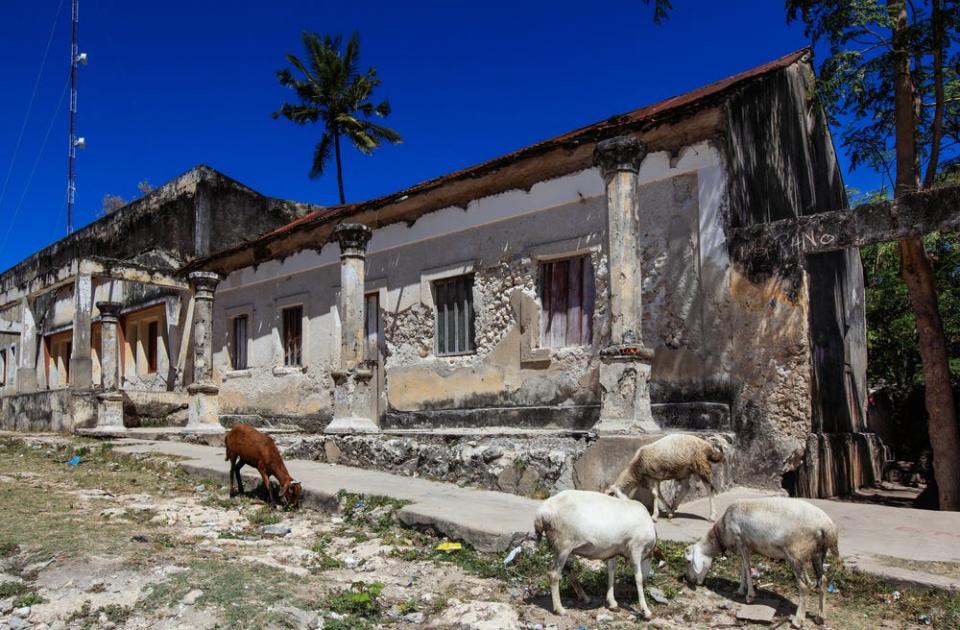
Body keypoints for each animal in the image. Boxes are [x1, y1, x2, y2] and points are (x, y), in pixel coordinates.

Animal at [532, 492, 660, 620]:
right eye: (652, 559)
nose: (647, 578)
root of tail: (542, 513)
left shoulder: (613, 550)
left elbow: (611, 572)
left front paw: (612, 603)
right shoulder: (636, 549)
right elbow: (638, 578)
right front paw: (646, 611)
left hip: (559, 546)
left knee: (568, 569)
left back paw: (585, 598)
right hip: (563, 544)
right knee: (554, 574)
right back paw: (560, 609)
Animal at [684, 502, 840, 628]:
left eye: (689, 561)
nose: (690, 580)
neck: (722, 532)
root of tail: (827, 526)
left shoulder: (741, 541)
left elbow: (747, 569)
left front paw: (750, 596)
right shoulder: (745, 547)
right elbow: (742, 567)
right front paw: (740, 590)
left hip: (796, 553)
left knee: (805, 585)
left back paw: (797, 620)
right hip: (818, 553)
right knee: (823, 580)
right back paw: (820, 617)